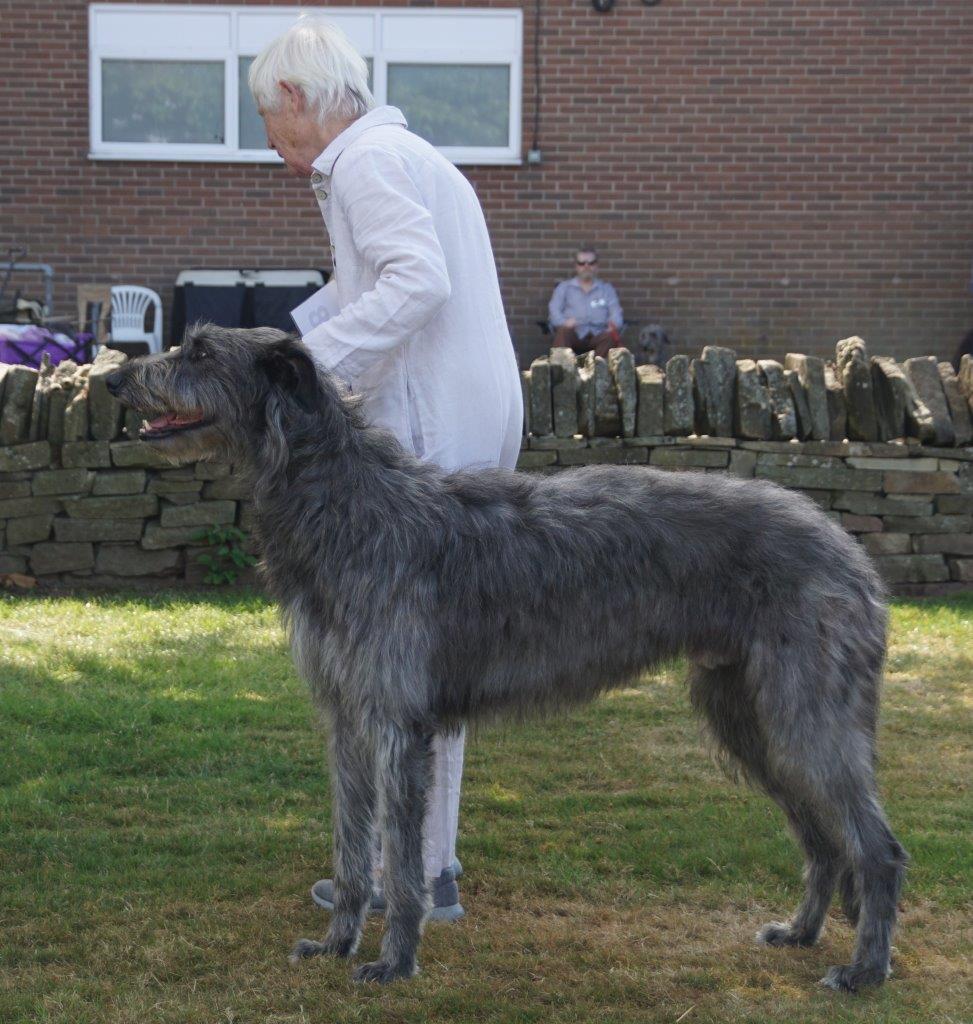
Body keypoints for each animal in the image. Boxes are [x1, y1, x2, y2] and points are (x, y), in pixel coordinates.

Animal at [110, 323, 909, 987]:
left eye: (200, 352)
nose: (116, 379)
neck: (346, 502)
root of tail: (849, 550)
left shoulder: (398, 723)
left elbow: (403, 864)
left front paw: (394, 963)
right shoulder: (344, 717)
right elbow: (352, 848)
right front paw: (336, 943)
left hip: (806, 713)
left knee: (874, 847)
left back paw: (864, 969)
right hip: (743, 712)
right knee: (822, 839)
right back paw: (802, 933)